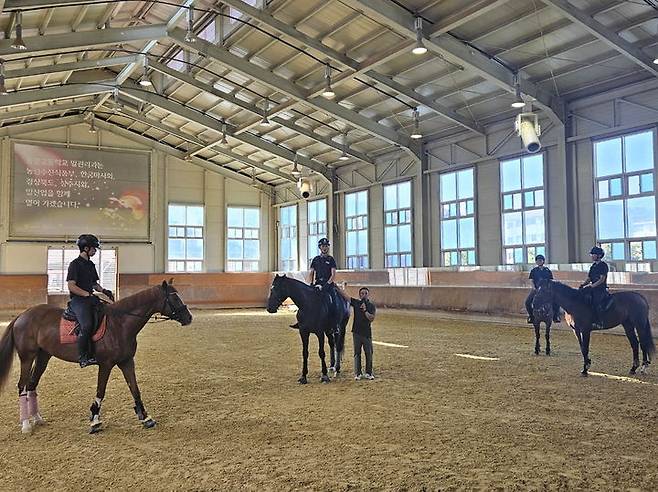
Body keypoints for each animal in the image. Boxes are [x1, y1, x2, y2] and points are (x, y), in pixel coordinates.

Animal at [0, 280, 192, 434]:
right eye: (174, 298)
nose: (189, 317)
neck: (120, 324)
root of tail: (22, 315)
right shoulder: (106, 364)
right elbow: (101, 391)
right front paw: (94, 420)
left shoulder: (127, 362)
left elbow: (135, 389)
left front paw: (145, 417)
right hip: (27, 357)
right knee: (22, 386)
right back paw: (26, 424)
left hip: (43, 356)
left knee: (32, 385)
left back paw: (37, 419)